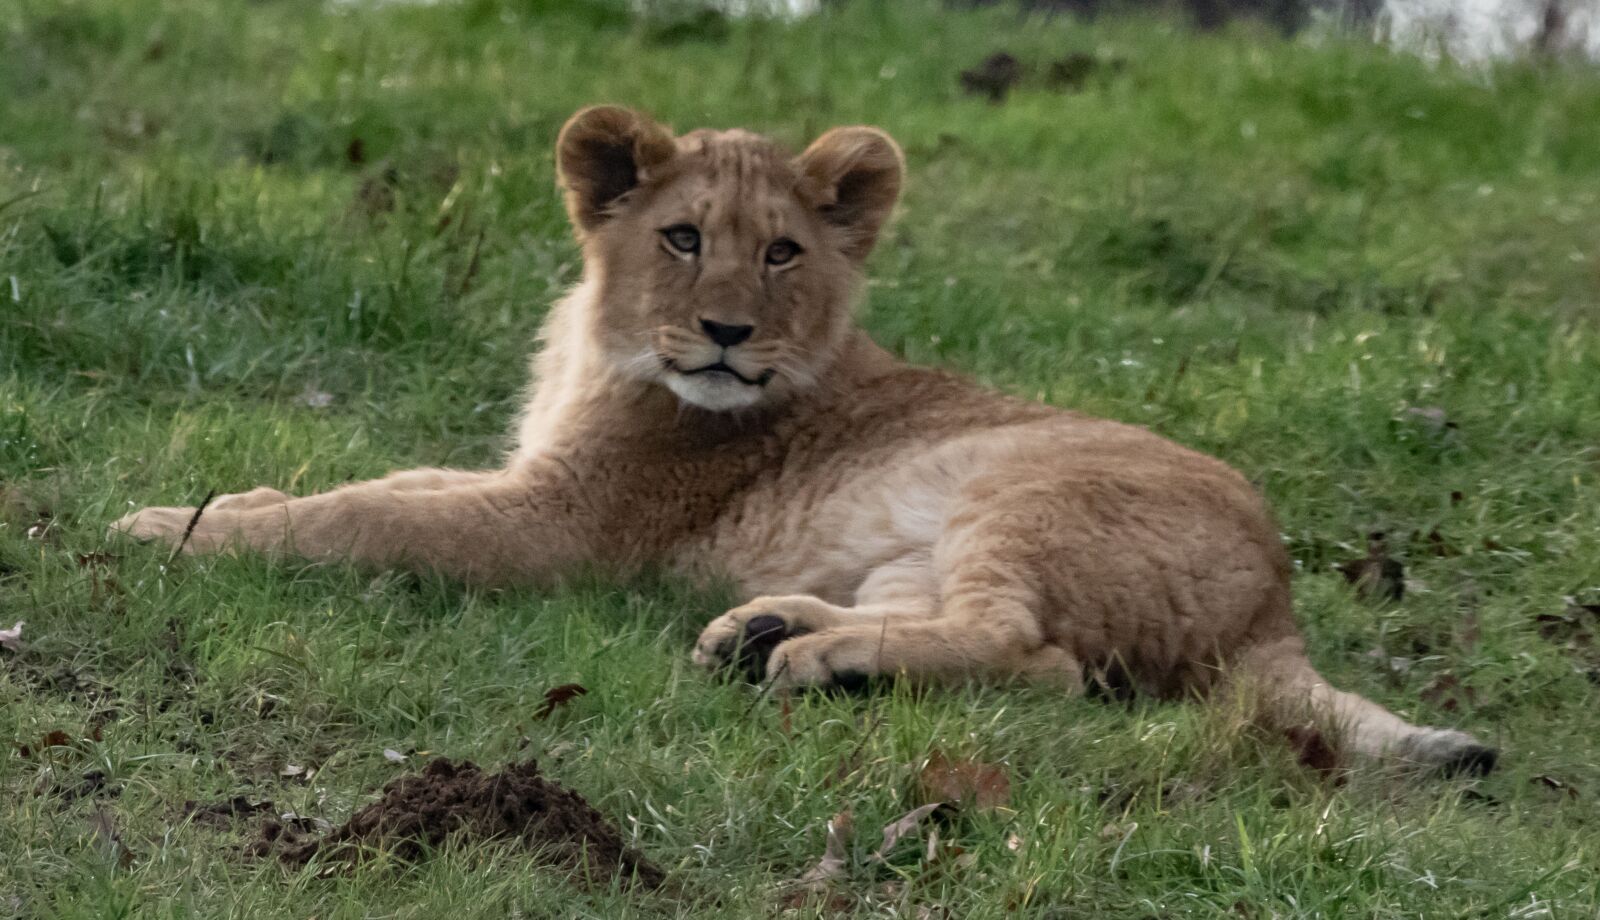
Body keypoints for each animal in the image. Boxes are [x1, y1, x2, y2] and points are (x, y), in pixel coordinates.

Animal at [114, 106, 1495, 773]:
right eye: (682, 236)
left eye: (781, 251)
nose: (727, 331)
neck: (603, 343)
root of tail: (1277, 597)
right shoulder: (523, 474)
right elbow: (380, 478)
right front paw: (216, 500)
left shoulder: (557, 526)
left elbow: (371, 511)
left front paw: (171, 530)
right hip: (911, 548)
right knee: (991, 642)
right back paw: (768, 631)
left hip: (1027, 495)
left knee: (1036, 656)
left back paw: (814, 663)